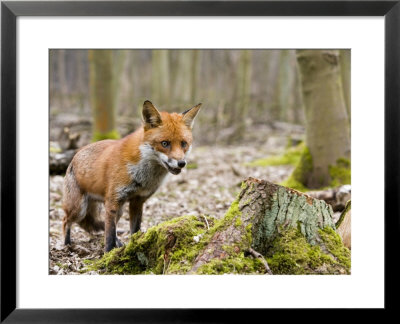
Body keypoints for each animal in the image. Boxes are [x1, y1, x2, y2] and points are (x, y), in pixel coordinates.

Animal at [62, 100, 202, 252]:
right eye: (165, 143)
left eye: (183, 144)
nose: (181, 163)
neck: (143, 176)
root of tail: (75, 155)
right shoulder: (113, 201)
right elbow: (109, 236)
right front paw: (108, 254)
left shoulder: (137, 201)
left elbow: (134, 230)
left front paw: (134, 247)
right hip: (79, 209)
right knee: (66, 221)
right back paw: (66, 243)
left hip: (118, 210)